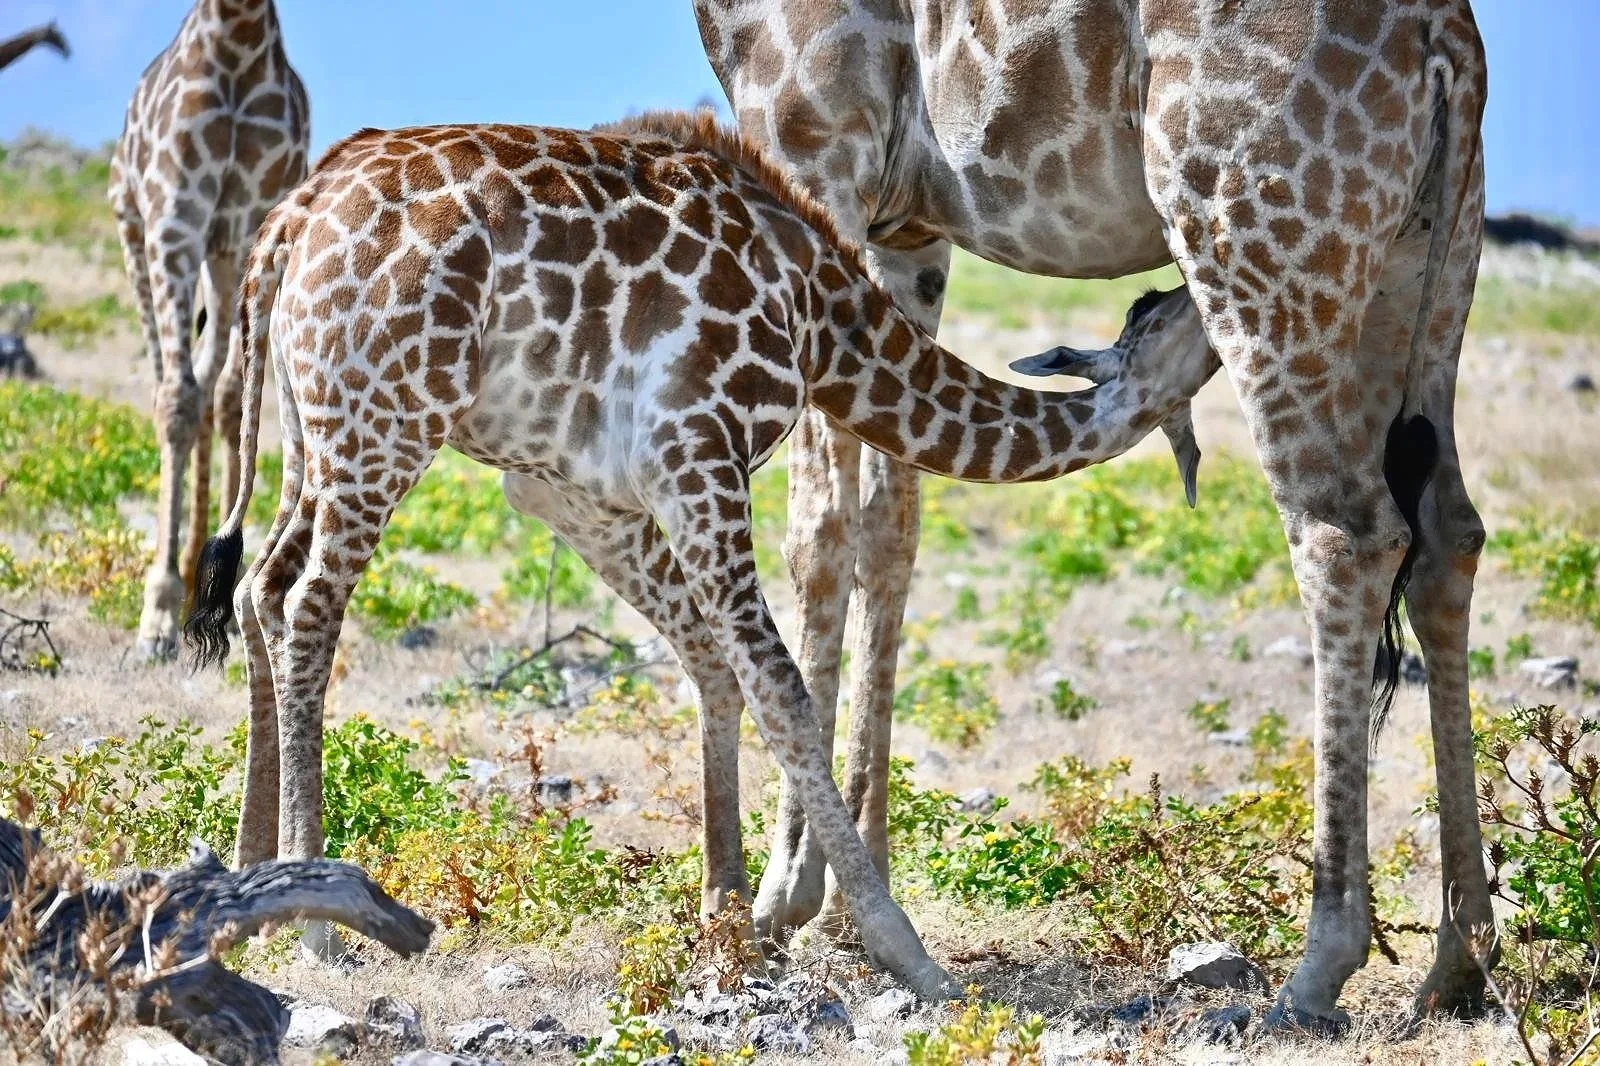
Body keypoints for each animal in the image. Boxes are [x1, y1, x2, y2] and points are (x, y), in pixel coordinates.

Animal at [110, 0, 309, 658]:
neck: (236, 38)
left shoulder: (245, 223)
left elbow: (230, 402)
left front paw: (219, 588)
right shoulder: (174, 220)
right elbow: (177, 401)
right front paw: (157, 613)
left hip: (220, 260)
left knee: (212, 386)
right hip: (134, 234)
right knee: (173, 385)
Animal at [182, 113, 1218, 997]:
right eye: (1166, 313)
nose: (1211, 285)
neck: (824, 325)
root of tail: (290, 223)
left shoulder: (578, 485)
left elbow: (712, 663)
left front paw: (725, 909)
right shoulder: (695, 449)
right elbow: (777, 685)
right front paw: (902, 952)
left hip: (314, 430)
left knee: (263, 590)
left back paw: (253, 886)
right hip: (385, 418)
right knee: (311, 605)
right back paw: (319, 928)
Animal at [695, 0, 1491, 1031]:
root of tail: (1447, 46)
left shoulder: (810, 140)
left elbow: (818, 533)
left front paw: (782, 901)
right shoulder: (907, 230)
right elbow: (889, 527)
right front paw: (849, 904)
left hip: (1256, 244)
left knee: (1345, 535)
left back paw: (1315, 972)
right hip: (1429, 251)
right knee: (1446, 536)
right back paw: (1457, 964)